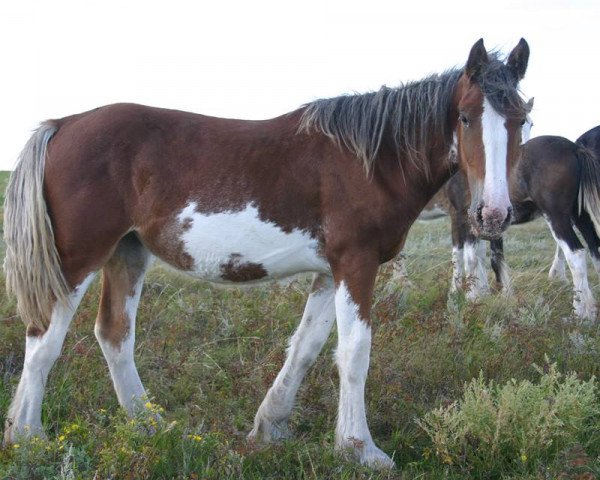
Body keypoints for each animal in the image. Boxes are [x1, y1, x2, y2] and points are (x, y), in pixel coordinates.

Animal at [3, 38, 528, 468]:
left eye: (523, 120)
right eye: (465, 117)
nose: (493, 213)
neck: (372, 160)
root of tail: (64, 124)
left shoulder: (330, 271)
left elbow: (307, 348)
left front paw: (271, 427)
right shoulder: (355, 263)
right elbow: (355, 353)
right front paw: (362, 449)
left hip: (127, 253)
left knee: (114, 334)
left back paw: (149, 425)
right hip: (78, 259)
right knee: (43, 342)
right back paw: (28, 439)